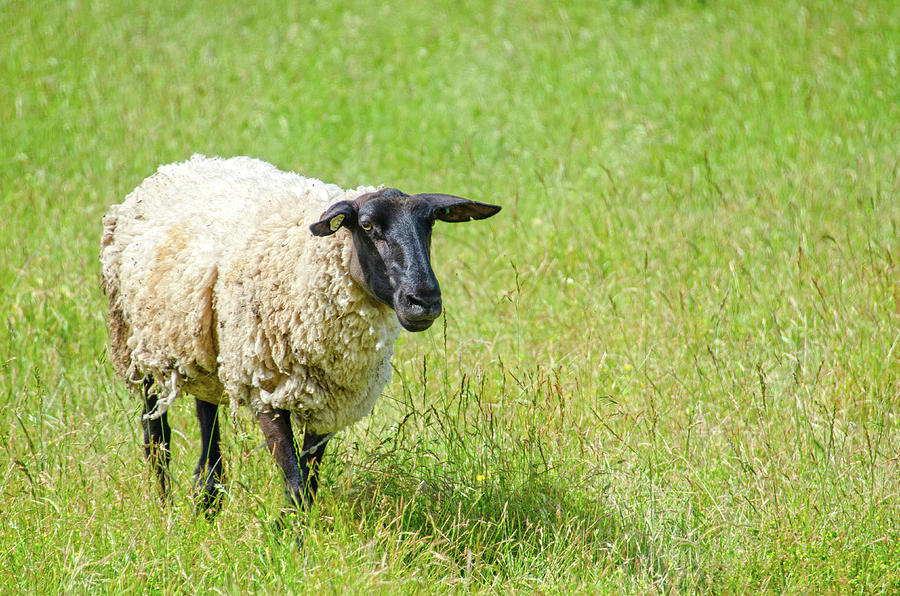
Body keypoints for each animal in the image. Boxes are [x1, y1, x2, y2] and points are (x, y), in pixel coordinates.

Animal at [102, 156, 502, 516]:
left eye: (430, 224)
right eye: (367, 226)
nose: (425, 300)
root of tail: (179, 165)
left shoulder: (325, 402)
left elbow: (308, 483)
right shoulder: (265, 389)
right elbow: (294, 484)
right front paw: (290, 541)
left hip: (205, 353)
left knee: (207, 424)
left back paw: (207, 502)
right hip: (138, 349)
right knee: (156, 436)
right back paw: (164, 508)